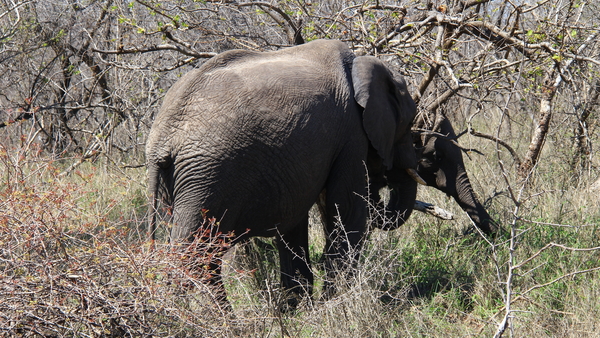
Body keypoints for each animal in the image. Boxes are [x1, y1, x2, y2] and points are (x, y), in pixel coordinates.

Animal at [145, 39, 422, 308]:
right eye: (409, 124)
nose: (381, 185)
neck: (360, 65)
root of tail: (162, 138)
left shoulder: (292, 166)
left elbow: (295, 219)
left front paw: (298, 308)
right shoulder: (351, 134)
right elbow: (346, 209)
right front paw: (333, 305)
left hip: (186, 182)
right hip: (206, 177)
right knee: (194, 257)